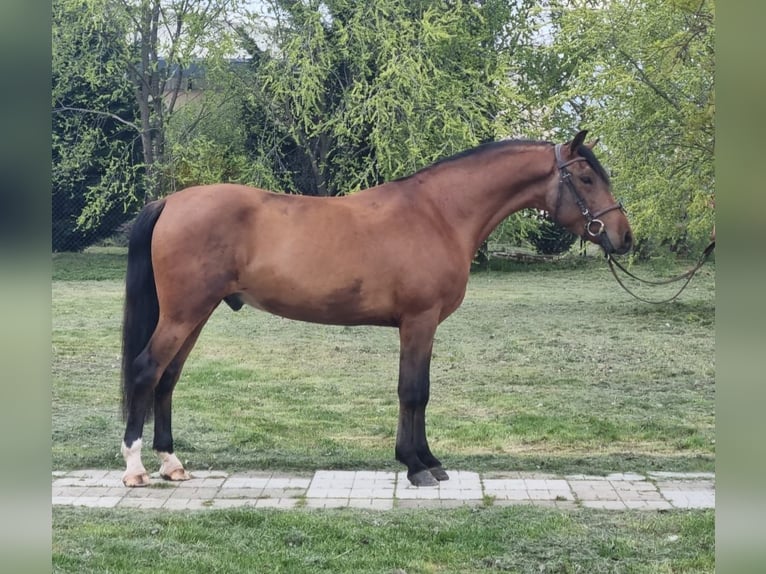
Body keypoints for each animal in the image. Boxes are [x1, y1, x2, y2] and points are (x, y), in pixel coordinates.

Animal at [119, 130, 632, 487]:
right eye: (587, 178)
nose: (623, 237)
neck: (439, 214)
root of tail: (170, 202)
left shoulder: (422, 325)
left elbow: (418, 391)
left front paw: (427, 461)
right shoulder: (419, 321)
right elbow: (414, 392)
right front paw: (417, 466)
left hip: (196, 315)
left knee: (168, 378)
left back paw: (172, 464)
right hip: (184, 313)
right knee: (146, 371)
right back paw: (136, 468)